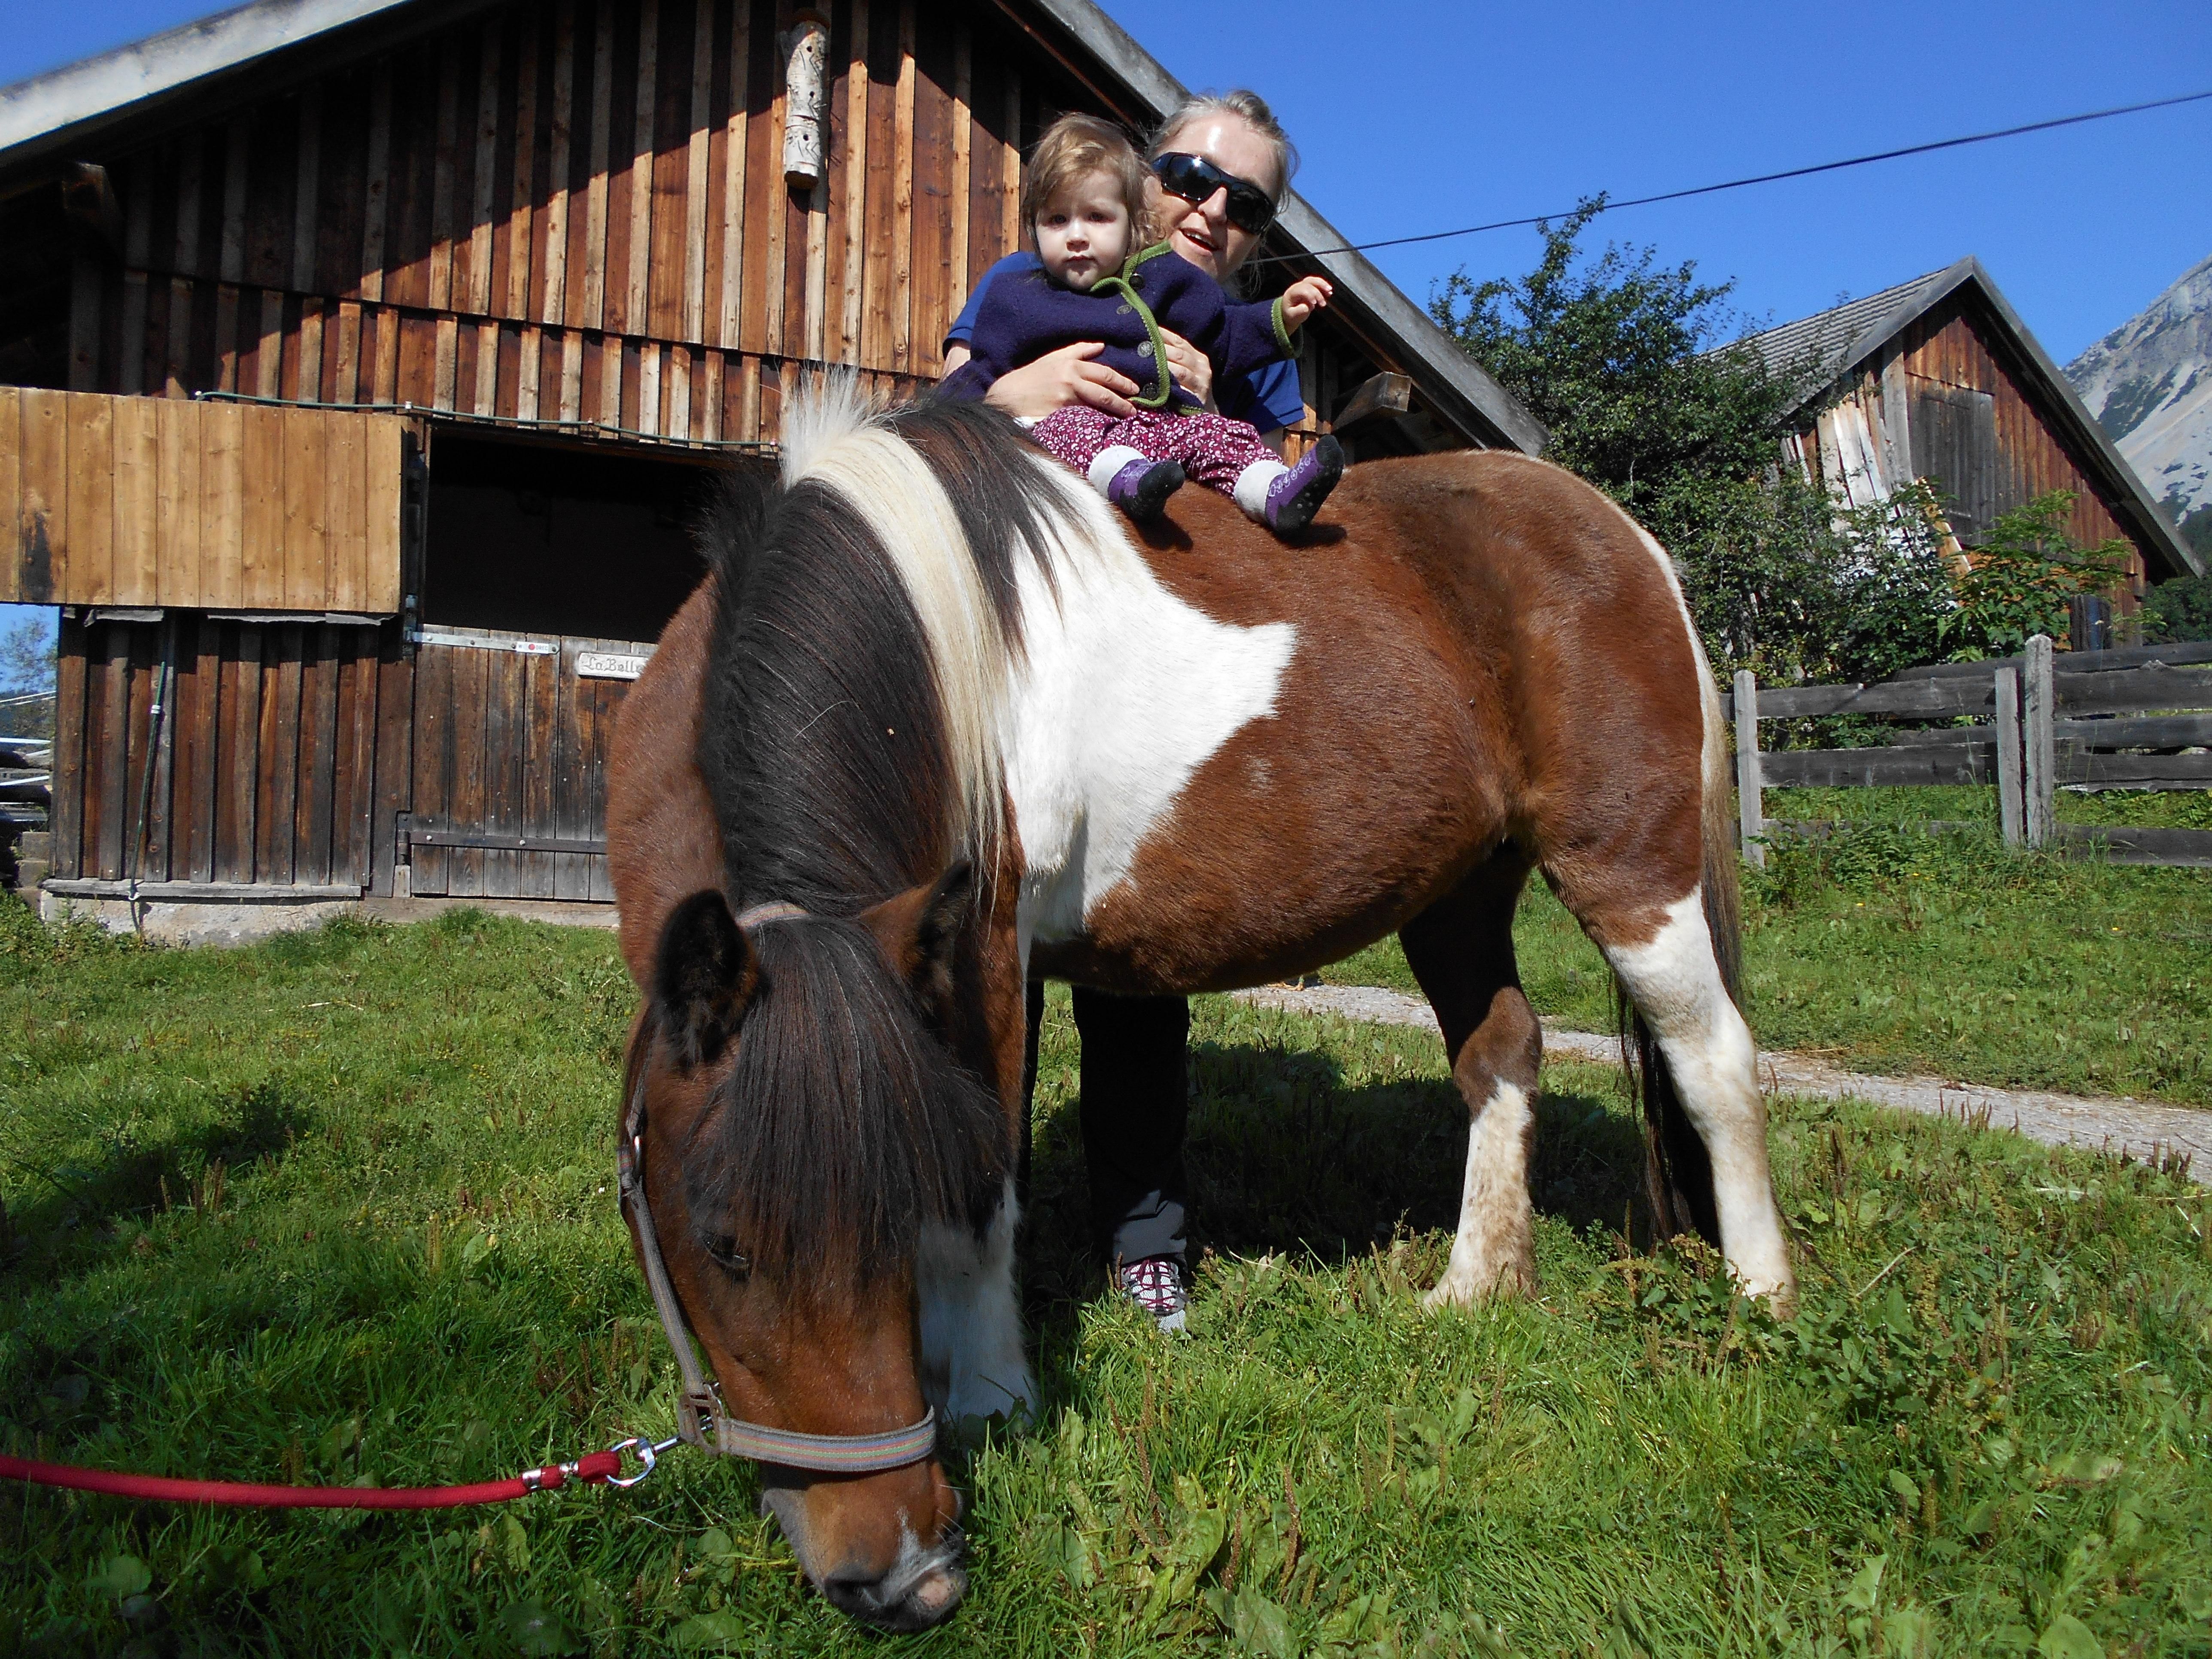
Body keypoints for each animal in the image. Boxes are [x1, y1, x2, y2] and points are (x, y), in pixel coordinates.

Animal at [605, 383, 1792, 1631]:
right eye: (719, 1245)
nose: (903, 1577)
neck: (918, 645)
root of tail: (1626, 536)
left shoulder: (983, 953)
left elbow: (981, 1193)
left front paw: (989, 1396)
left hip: (1630, 869)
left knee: (1714, 1062)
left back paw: (1760, 1296)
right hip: (1460, 889)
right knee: (1502, 1055)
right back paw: (1472, 1289)